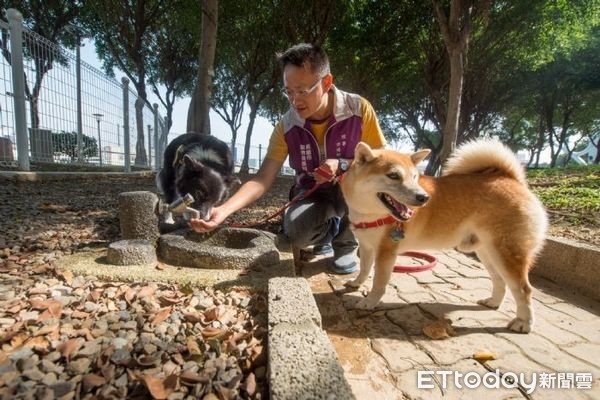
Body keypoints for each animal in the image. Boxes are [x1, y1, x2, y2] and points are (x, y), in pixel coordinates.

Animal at [340, 139, 548, 332]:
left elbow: (378, 282)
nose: (424, 198)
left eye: (415, 177)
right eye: (393, 176)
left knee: (523, 289)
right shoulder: (366, 246)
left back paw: (523, 322)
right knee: (499, 280)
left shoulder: (386, 251)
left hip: (505, 253)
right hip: (487, 252)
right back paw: (493, 302)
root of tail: (512, 179)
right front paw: (356, 283)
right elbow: (364, 269)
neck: (370, 213)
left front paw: (369, 302)